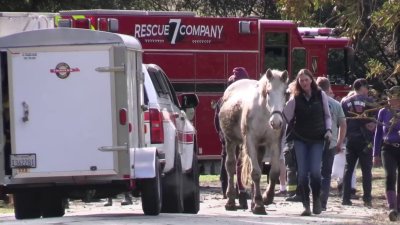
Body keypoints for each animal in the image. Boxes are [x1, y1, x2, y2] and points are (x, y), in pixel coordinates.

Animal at [219, 68, 288, 214]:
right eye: (268, 92)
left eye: (285, 93)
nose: (276, 122)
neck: (264, 114)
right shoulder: (250, 141)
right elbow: (255, 173)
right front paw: (259, 204)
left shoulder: (274, 143)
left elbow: (274, 172)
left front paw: (266, 197)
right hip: (230, 141)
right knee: (231, 166)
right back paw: (231, 201)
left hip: (260, 147)